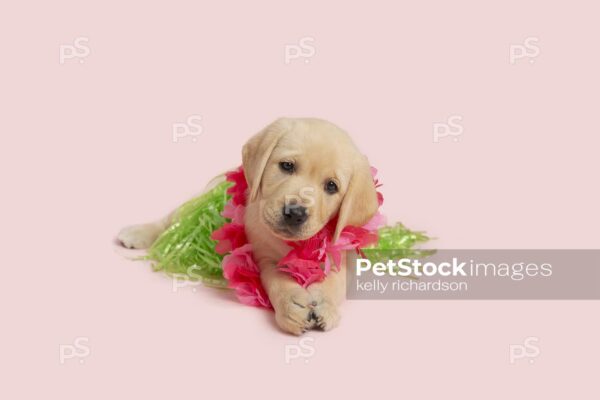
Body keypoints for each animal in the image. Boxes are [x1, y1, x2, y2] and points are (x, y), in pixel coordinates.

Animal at [119, 118, 378, 334]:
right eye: (287, 166)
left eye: (331, 186)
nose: (295, 213)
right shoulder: (263, 258)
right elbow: (277, 279)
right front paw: (291, 304)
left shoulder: (342, 257)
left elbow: (335, 282)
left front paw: (325, 305)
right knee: (172, 220)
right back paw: (137, 232)